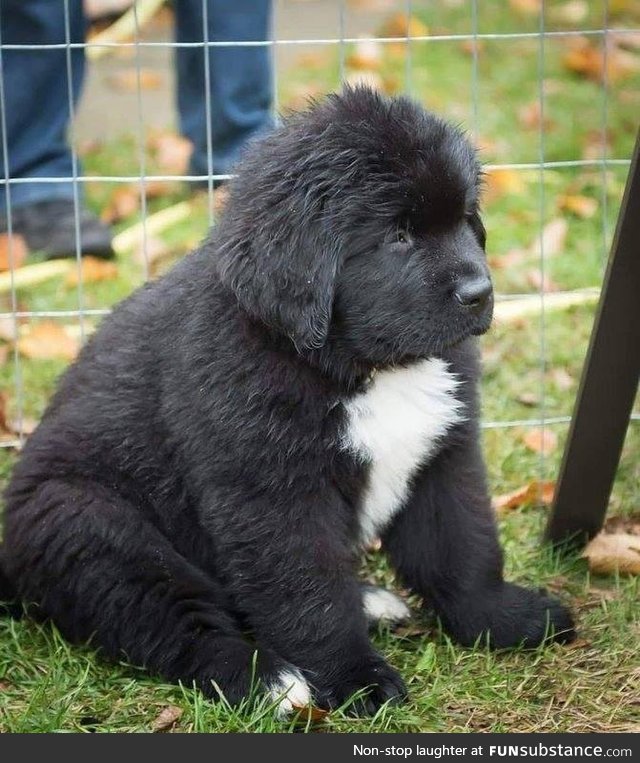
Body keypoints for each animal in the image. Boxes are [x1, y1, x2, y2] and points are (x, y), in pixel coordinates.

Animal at [0, 88, 576, 716]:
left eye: (465, 218)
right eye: (397, 236)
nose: (480, 293)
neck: (364, 367)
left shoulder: (443, 454)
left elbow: (462, 546)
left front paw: (504, 619)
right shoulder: (273, 493)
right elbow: (309, 594)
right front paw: (355, 679)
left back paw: (369, 601)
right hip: (92, 526)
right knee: (175, 621)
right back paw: (268, 680)